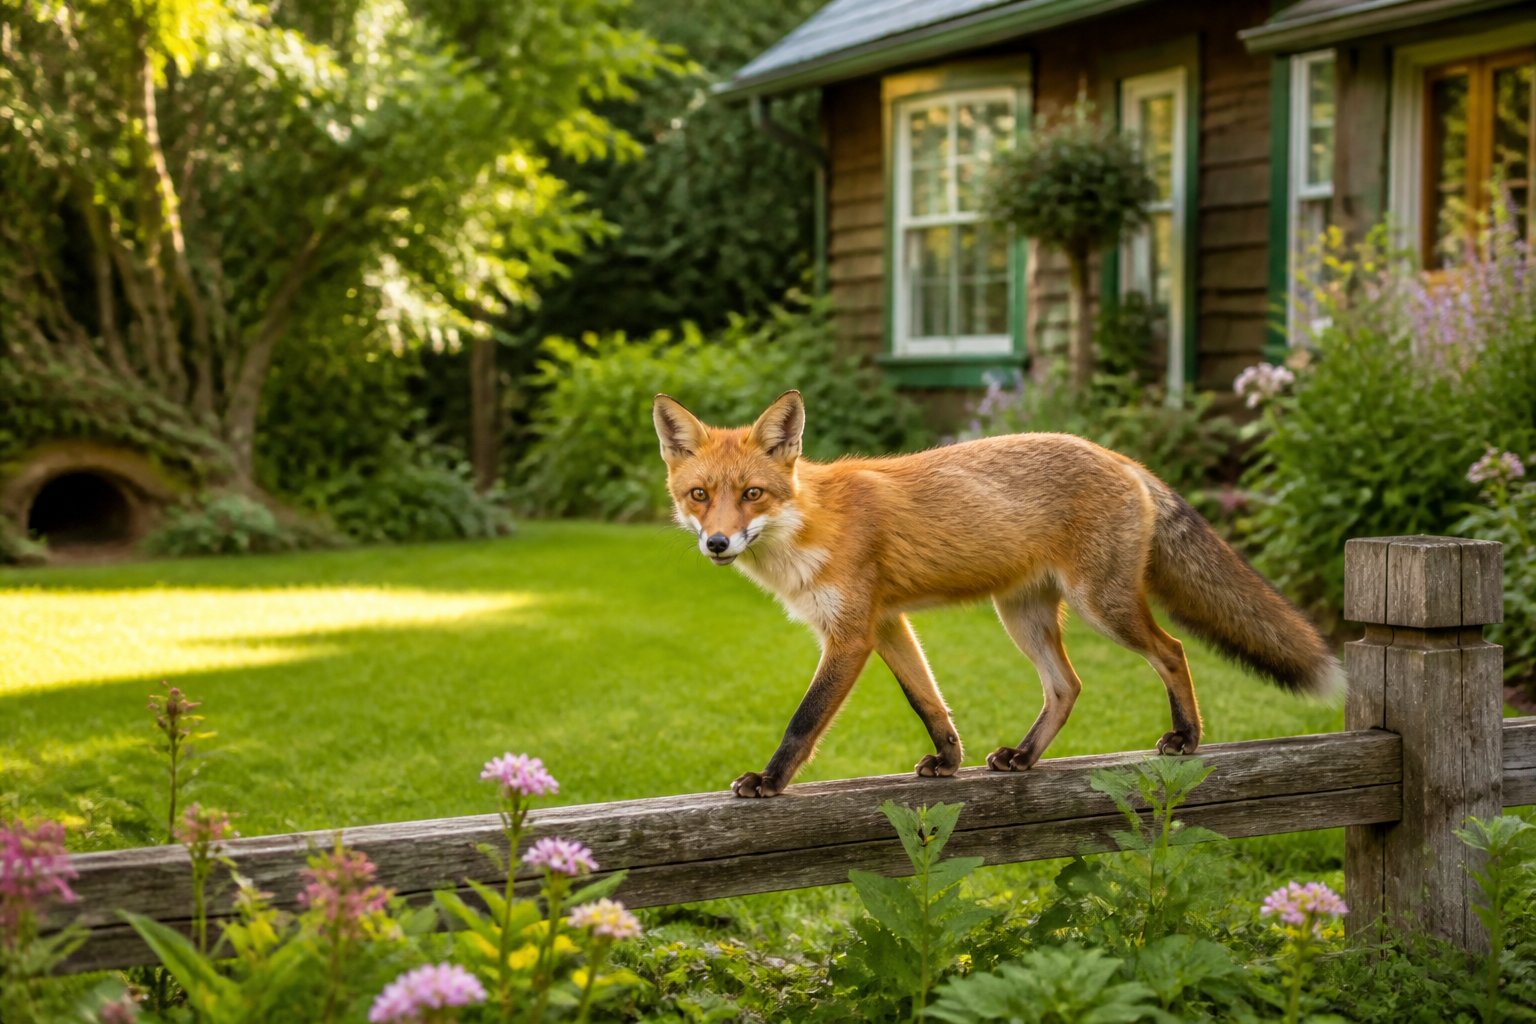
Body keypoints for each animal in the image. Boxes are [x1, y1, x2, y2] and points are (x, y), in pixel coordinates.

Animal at [652, 389, 1344, 798]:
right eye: (699, 496)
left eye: (752, 494)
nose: (717, 543)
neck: (810, 524)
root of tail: (1119, 456)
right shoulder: (888, 624)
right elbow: (928, 702)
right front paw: (948, 761)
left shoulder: (849, 635)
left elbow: (804, 720)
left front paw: (769, 780)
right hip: (1021, 615)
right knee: (1067, 686)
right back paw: (1025, 756)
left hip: (1103, 607)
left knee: (1172, 650)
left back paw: (1186, 738)